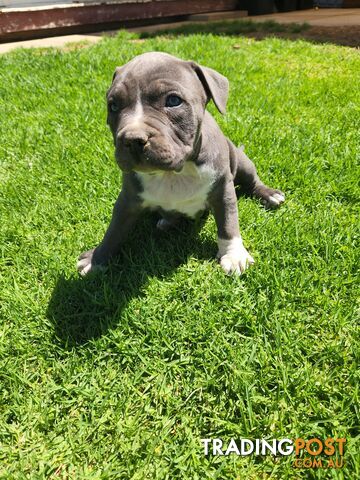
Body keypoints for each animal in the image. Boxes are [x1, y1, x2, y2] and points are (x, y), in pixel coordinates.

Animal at [78, 50, 284, 276]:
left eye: (173, 101)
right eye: (113, 106)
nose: (132, 139)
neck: (175, 173)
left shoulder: (223, 190)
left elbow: (228, 223)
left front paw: (234, 254)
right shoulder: (128, 199)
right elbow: (114, 229)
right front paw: (97, 258)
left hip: (241, 160)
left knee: (252, 180)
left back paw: (269, 194)